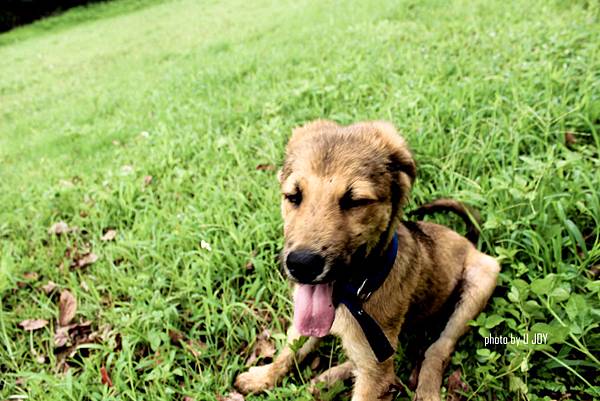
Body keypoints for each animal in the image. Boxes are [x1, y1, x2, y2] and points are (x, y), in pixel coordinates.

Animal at [235, 120, 500, 401]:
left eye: (355, 201)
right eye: (293, 196)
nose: (302, 265)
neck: (351, 295)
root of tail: (469, 241)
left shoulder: (375, 372)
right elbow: (289, 349)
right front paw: (263, 376)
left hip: (480, 283)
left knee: (438, 348)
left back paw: (425, 389)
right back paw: (328, 378)